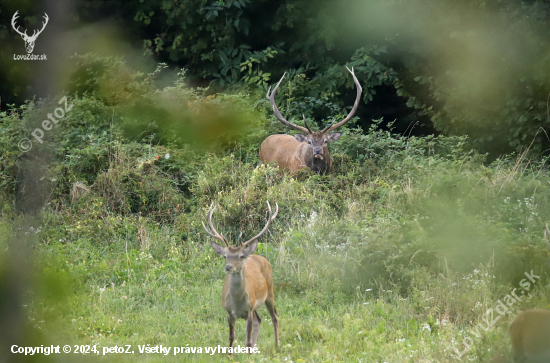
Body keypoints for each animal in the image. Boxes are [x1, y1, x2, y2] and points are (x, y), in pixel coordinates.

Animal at [203, 202, 280, 356]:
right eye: (225, 256)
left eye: (241, 256)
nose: (228, 267)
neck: (237, 303)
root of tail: (257, 255)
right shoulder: (228, 311)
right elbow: (231, 336)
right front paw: (230, 355)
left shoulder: (248, 310)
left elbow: (247, 339)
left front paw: (249, 355)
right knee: (259, 320)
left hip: (269, 291)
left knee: (274, 316)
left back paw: (276, 345)